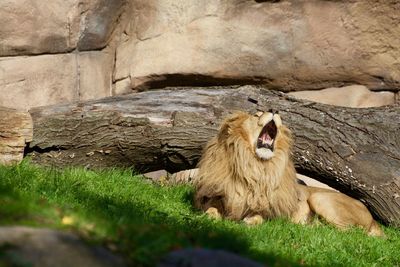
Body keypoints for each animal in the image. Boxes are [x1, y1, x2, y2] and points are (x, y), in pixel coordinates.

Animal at [191, 110, 384, 237]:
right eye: (256, 114)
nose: (274, 110)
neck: (255, 166)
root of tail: (373, 219)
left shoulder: (271, 210)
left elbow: (259, 216)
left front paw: (250, 222)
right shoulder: (217, 196)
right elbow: (212, 209)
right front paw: (208, 219)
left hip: (320, 198)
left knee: (349, 233)